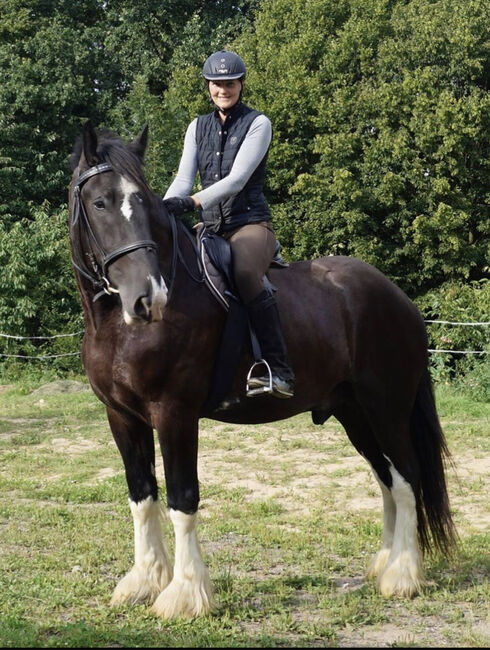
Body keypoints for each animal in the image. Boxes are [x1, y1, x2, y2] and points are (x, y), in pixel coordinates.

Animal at [68, 123, 456, 616]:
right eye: (99, 203)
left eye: (143, 202)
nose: (148, 298)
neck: (118, 326)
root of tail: (398, 298)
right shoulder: (121, 416)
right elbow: (142, 496)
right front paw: (143, 581)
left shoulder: (174, 414)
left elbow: (182, 499)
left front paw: (185, 595)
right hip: (355, 415)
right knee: (387, 479)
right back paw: (383, 565)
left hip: (386, 409)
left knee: (406, 478)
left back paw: (402, 576)